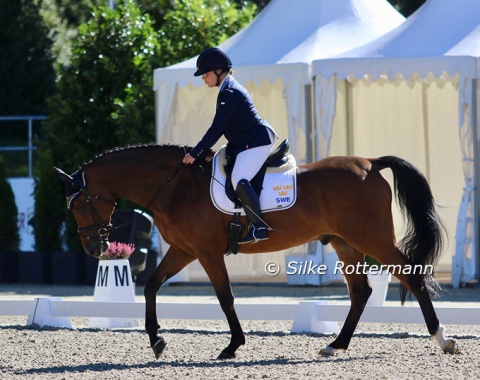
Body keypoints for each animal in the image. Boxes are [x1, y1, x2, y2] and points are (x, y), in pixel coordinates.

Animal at [54, 143, 460, 360]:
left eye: (80, 204)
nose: (94, 247)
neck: (173, 187)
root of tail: (370, 164)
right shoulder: (183, 250)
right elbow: (152, 285)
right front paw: (156, 341)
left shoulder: (206, 251)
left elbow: (225, 297)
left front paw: (232, 345)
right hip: (345, 243)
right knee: (361, 292)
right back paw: (335, 345)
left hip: (371, 239)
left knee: (412, 278)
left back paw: (443, 339)